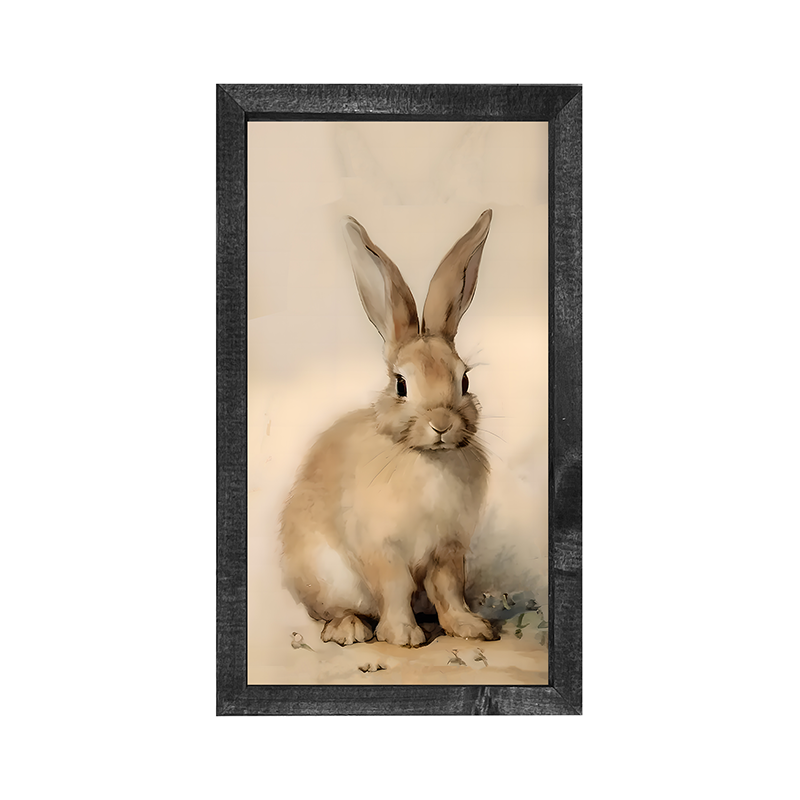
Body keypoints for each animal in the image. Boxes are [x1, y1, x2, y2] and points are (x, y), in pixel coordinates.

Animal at [280, 210, 498, 647]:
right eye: (401, 385)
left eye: (464, 380)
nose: (441, 423)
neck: (426, 458)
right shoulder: (382, 549)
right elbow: (395, 587)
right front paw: (404, 636)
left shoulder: (448, 549)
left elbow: (449, 589)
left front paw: (470, 628)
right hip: (326, 577)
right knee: (336, 611)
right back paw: (350, 630)